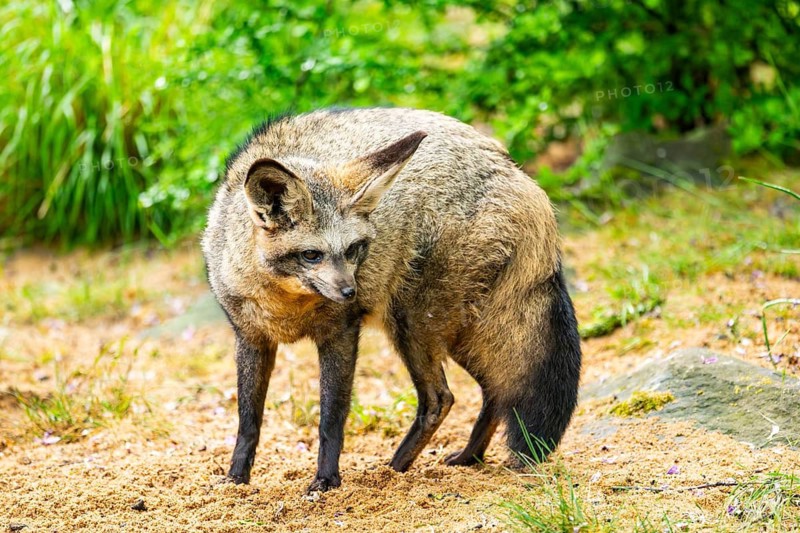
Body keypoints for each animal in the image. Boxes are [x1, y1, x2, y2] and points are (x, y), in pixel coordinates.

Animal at [202, 107, 581, 493]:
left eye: (353, 249)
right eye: (311, 255)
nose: (350, 293)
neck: (286, 305)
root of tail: (518, 174)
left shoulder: (341, 334)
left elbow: (331, 420)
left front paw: (326, 481)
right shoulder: (252, 338)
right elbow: (248, 421)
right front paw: (236, 479)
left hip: (412, 326)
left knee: (441, 399)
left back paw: (393, 471)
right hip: (457, 334)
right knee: (495, 392)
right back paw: (466, 458)